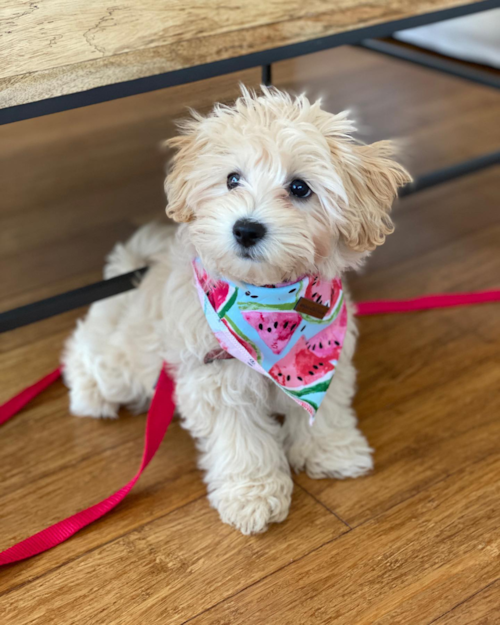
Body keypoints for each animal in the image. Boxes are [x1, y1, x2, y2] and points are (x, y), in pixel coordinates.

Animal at [63, 88, 410, 532]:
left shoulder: (332, 358)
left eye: (300, 187)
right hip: (124, 365)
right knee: (84, 350)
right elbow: (243, 443)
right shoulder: (217, 380)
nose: (246, 228)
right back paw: (89, 395)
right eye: (232, 179)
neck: (272, 297)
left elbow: (326, 409)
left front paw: (332, 450)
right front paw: (253, 495)